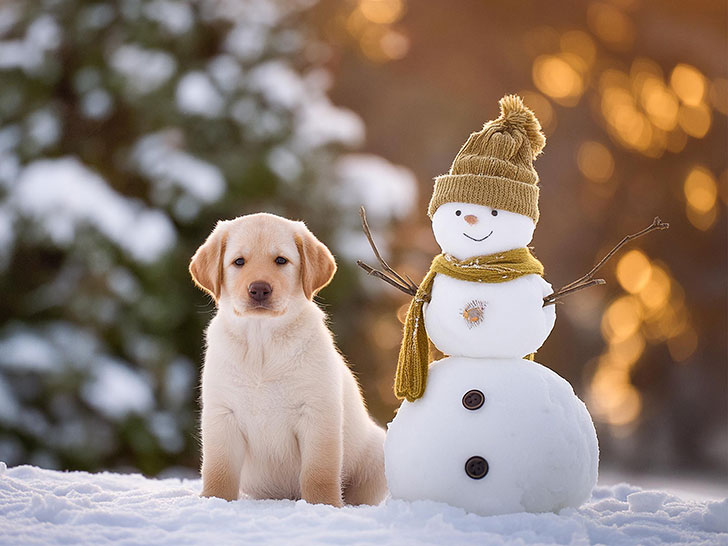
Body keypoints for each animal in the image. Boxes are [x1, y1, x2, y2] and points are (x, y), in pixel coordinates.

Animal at [191, 210, 390, 504]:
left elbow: (318, 473)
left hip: (377, 453)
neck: (262, 343)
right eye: (239, 261)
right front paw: (214, 501)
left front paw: (323, 505)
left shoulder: (318, 414)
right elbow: (219, 471)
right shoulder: (222, 415)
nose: (259, 289)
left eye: (281, 260)